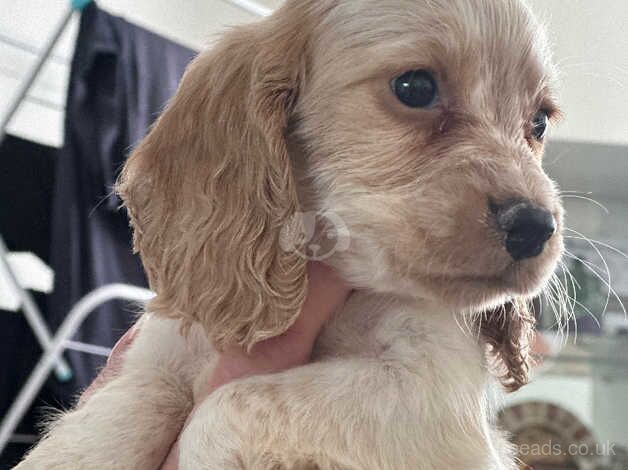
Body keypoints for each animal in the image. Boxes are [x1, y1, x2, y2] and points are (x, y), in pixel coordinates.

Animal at [15, 0, 564, 468]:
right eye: (415, 88)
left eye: (538, 122)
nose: (536, 226)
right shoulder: (163, 349)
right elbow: (127, 405)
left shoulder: (430, 390)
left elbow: (225, 407)